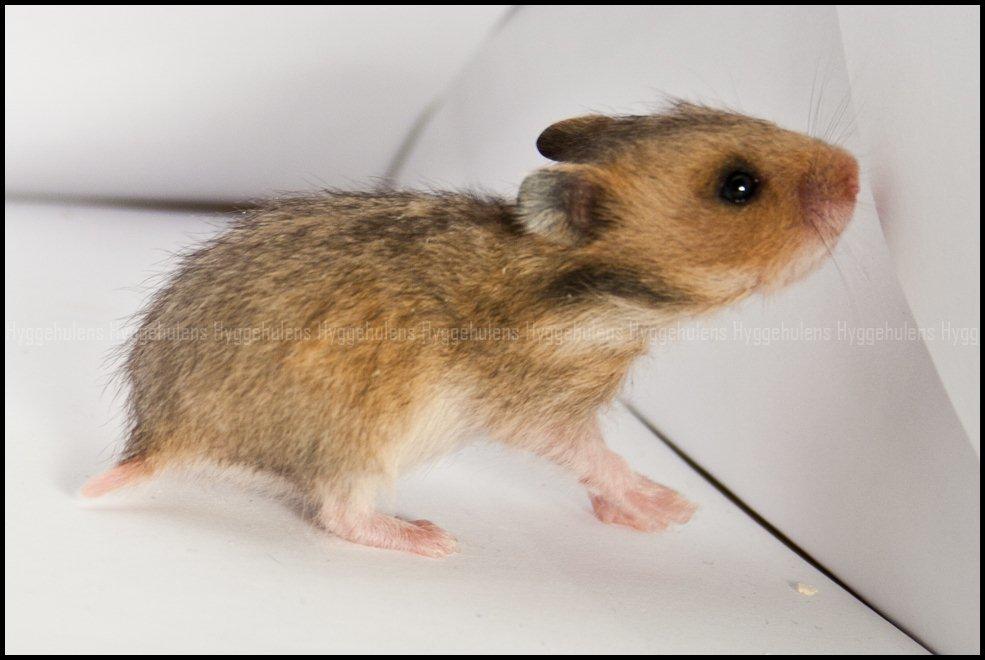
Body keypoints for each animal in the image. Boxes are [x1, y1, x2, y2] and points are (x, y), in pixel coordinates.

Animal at [82, 102, 859, 557]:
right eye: (737, 187)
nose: (856, 172)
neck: (601, 292)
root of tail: (158, 439)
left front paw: (635, 515)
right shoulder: (539, 408)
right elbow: (595, 455)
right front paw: (671, 509)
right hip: (365, 436)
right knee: (340, 512)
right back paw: (428, 537)